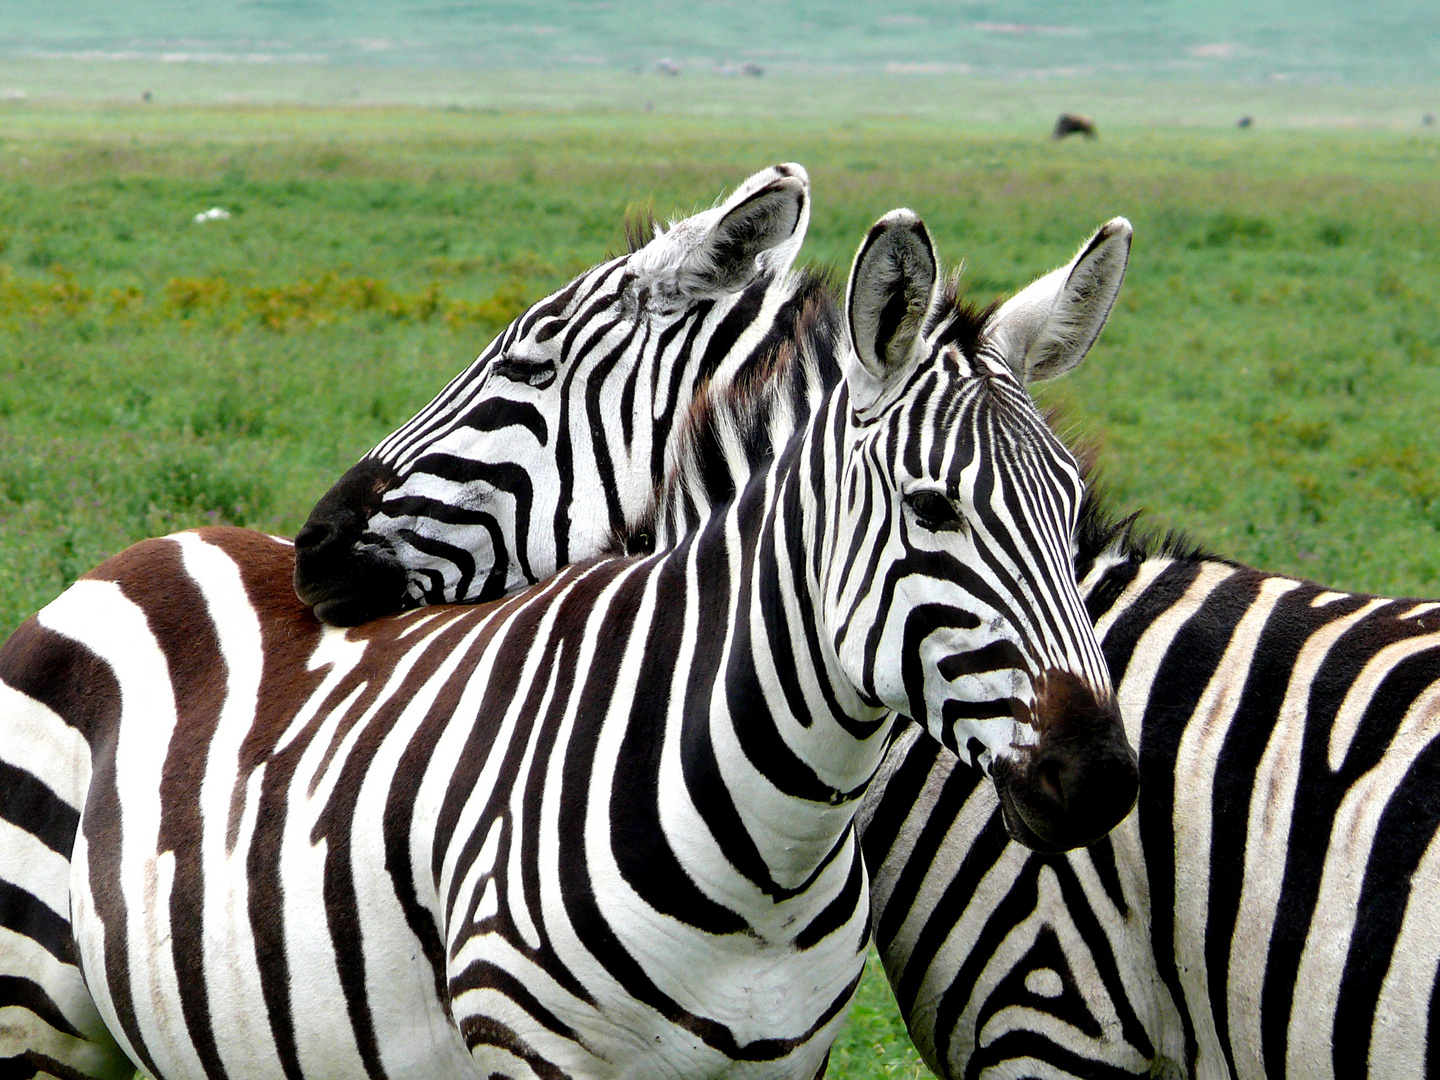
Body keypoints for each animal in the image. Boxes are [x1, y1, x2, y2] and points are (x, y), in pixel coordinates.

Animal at [0, 211, 1134, 1080]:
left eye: (1073, 506)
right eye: (931, 508)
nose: (1101, 777)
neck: (773, 851)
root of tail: (156, 545)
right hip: (35, 1012)